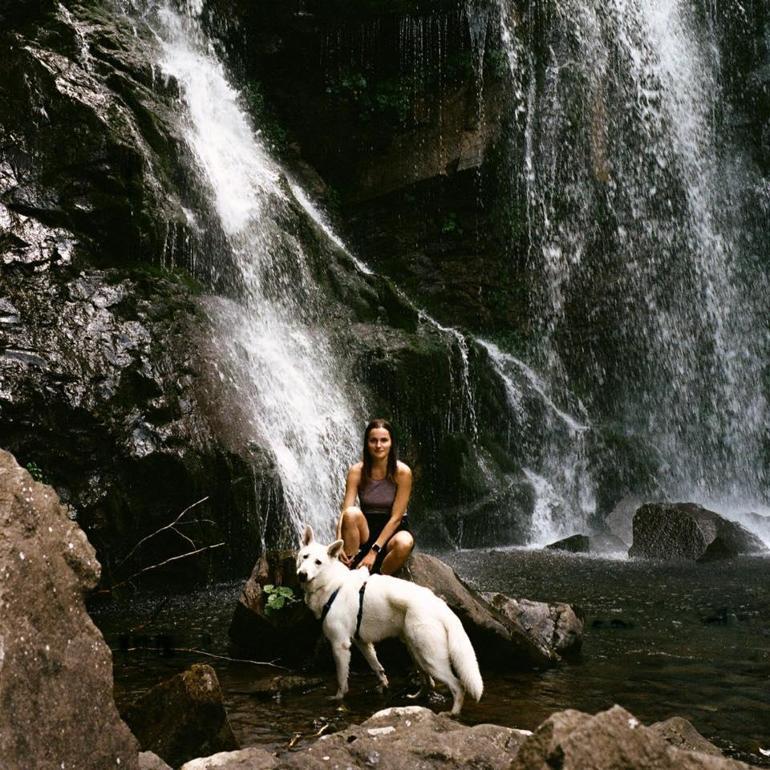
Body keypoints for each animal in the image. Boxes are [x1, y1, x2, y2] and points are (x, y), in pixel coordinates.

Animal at [294, 520, 480, 712]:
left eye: (318, 562)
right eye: (305, 557)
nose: (302, 575)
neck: (331, 584)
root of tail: (439, 604)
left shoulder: (340, 644)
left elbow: (341, 681)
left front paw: (338, 699)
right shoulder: (362, 642)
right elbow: (377, 667)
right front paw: (383, 685)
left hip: (430, 658)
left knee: (458, 686)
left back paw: (452, 713)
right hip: (416, 652)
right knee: (429, 682)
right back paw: (416, 698)